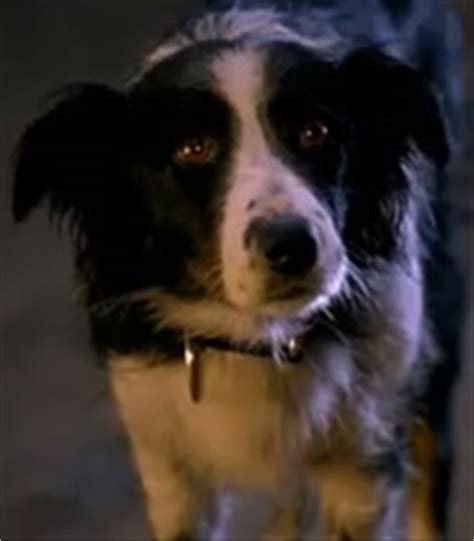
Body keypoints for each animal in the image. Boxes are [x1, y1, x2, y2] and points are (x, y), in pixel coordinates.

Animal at [11, 1, 462, 540]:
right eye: (192, 148)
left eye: (315, 132)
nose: (292, 247)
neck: (256, 339)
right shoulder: (167, 460)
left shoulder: (364, 459)